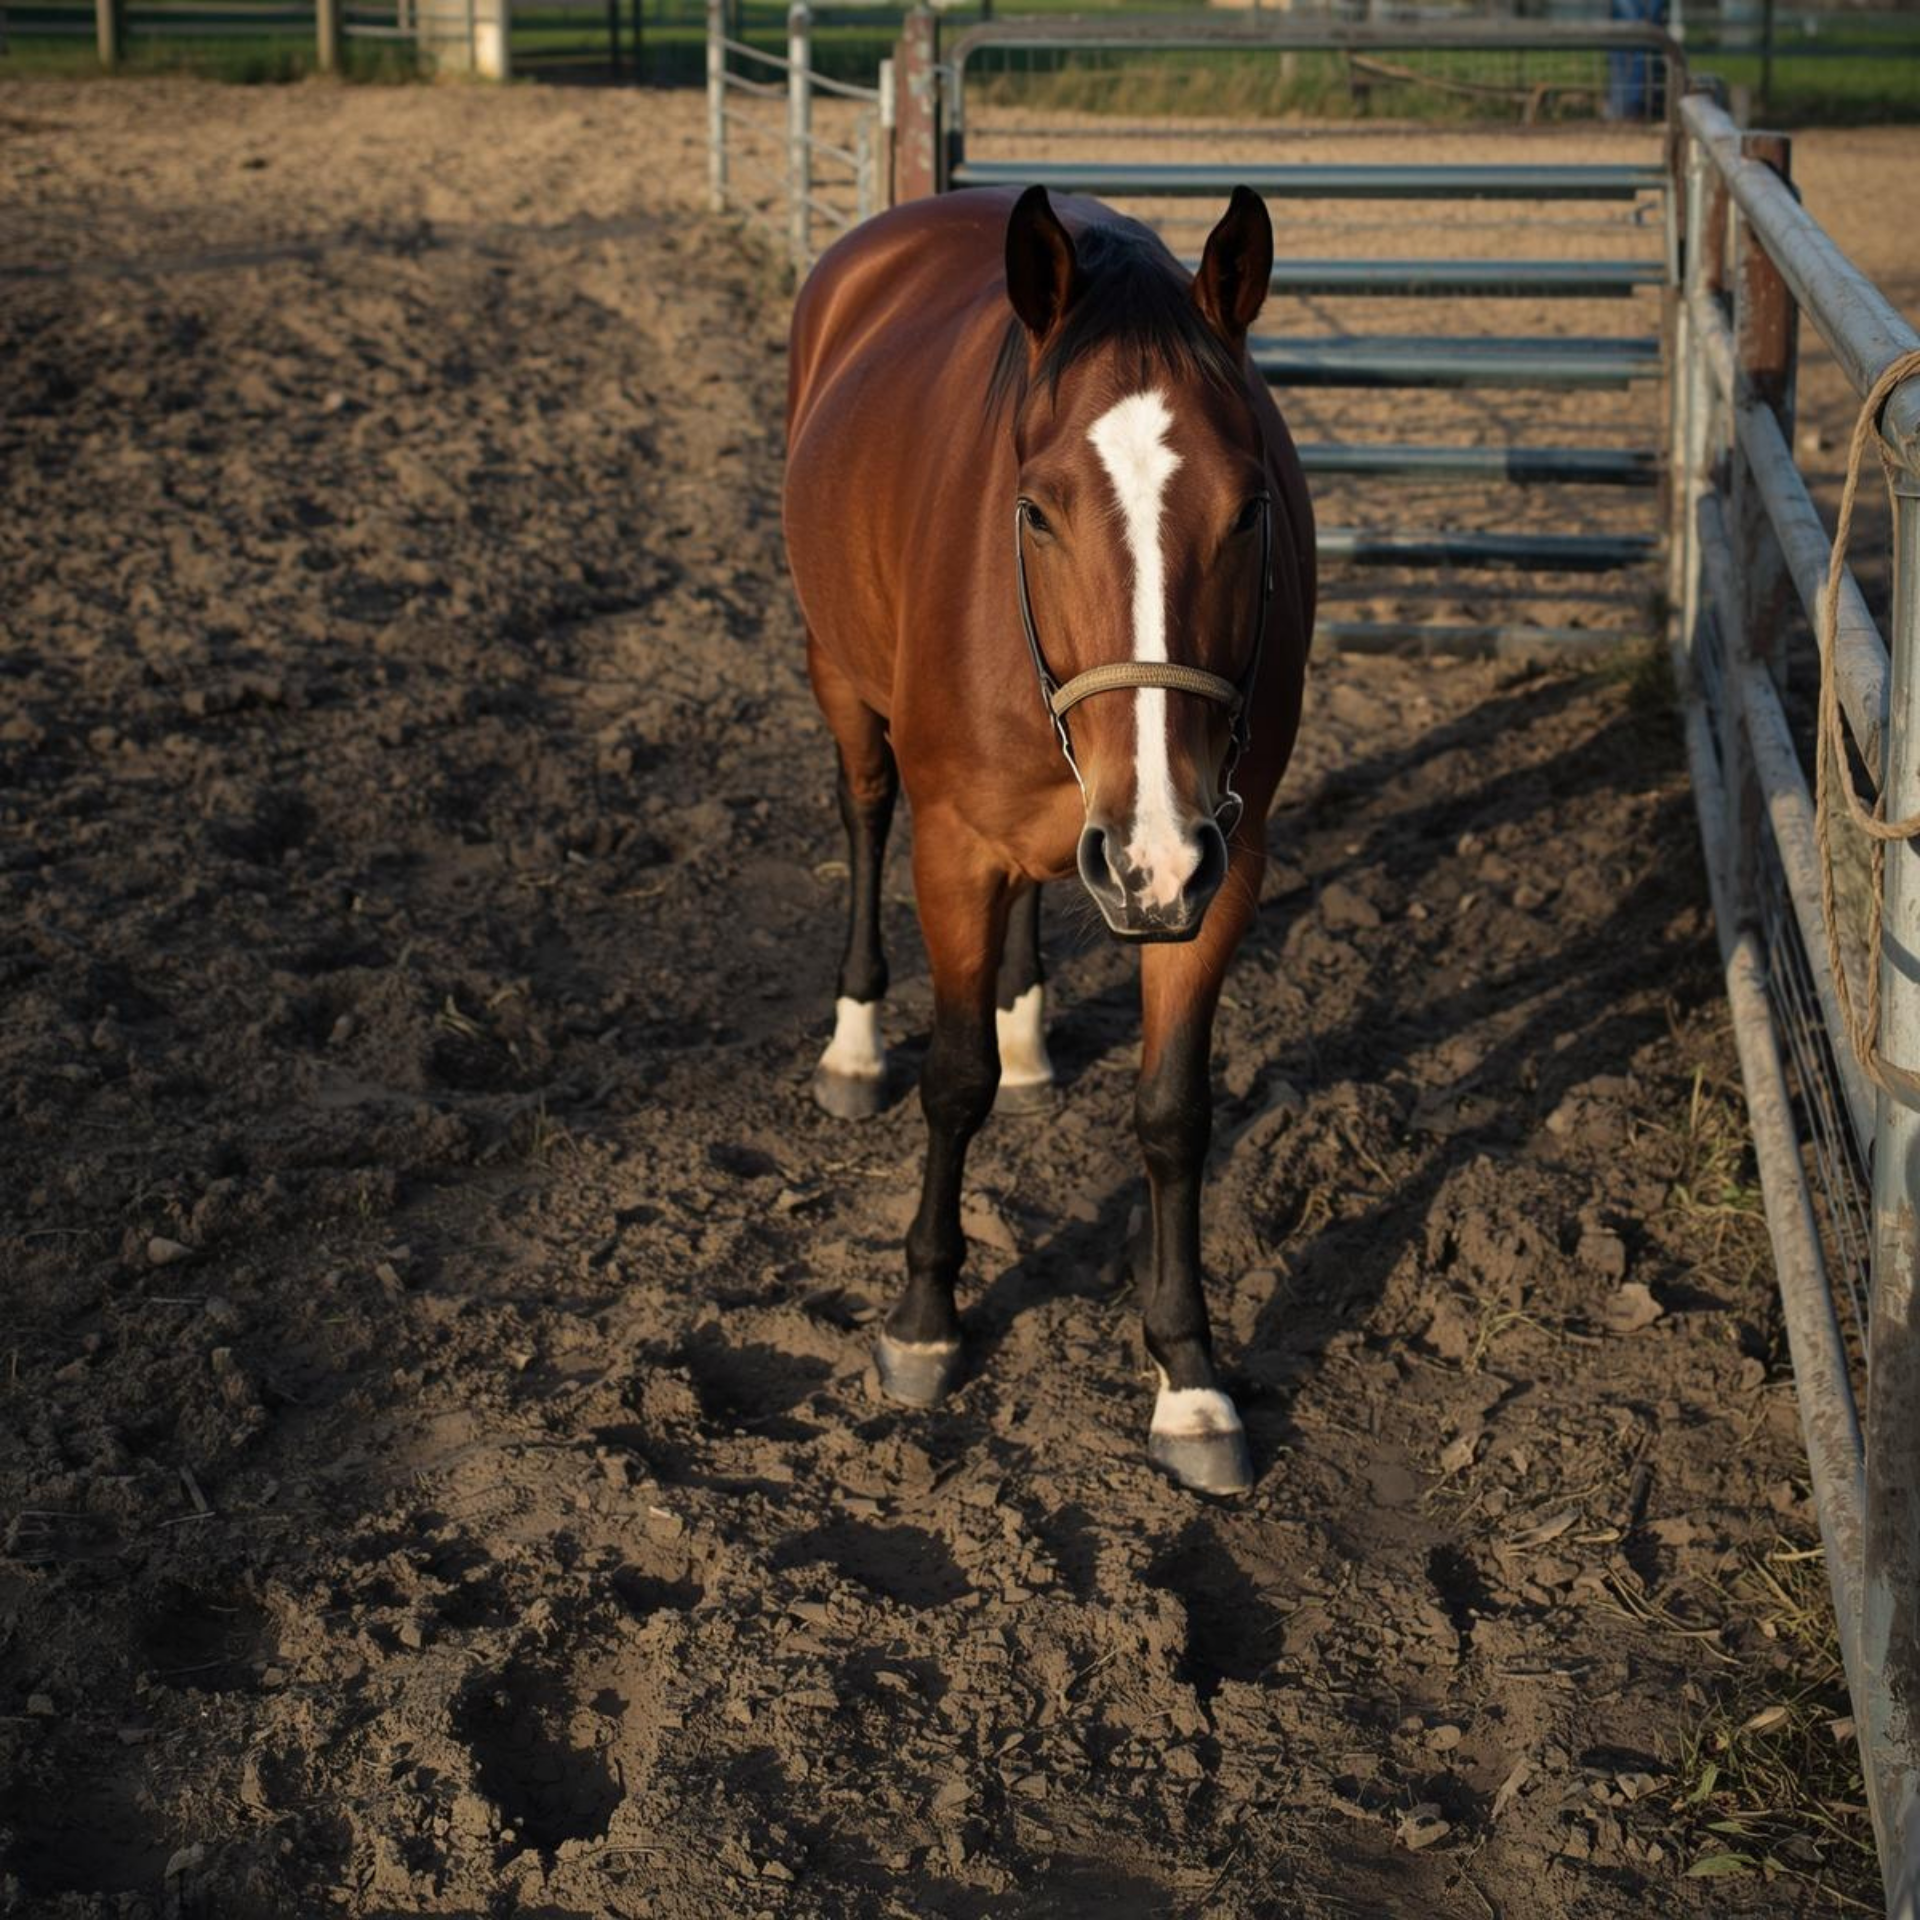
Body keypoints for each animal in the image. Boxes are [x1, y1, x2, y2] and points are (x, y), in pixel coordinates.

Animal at [783, 183, 1316, 1494]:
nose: (1153, 854)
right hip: (840, 681)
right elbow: (952, 1081)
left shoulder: (1224, 864)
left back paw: (1029, 1032)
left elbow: (1174, 1114)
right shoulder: (954, 848)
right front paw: (925, 1320)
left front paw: (1190, 1378)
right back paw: (854, 1045)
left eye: (1251, 510)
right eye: (1033, 511)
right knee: (863, 815)